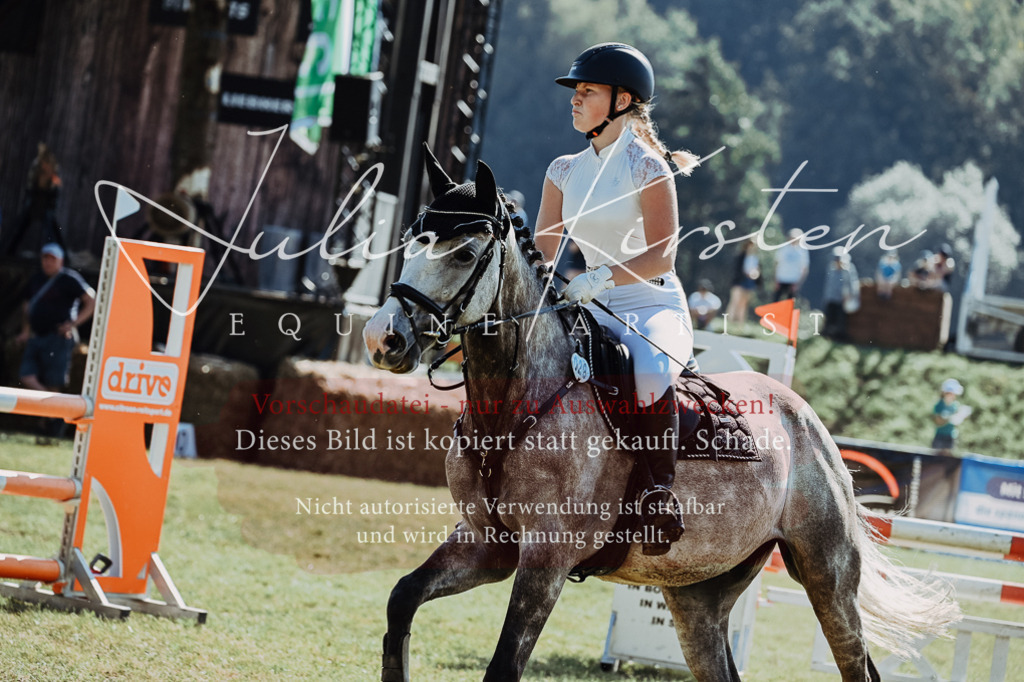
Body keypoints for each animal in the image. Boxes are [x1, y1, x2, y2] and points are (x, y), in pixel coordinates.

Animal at [362, 148, 959, 682]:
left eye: (464, 255)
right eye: (411, 242)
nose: (382, 339)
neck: (513, 403)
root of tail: (809, 421)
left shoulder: (546, 558)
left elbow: (504, 666)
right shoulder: (488, 544)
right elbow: (400, 600)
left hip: (827, 575)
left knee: (855, 661)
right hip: (697, 592)